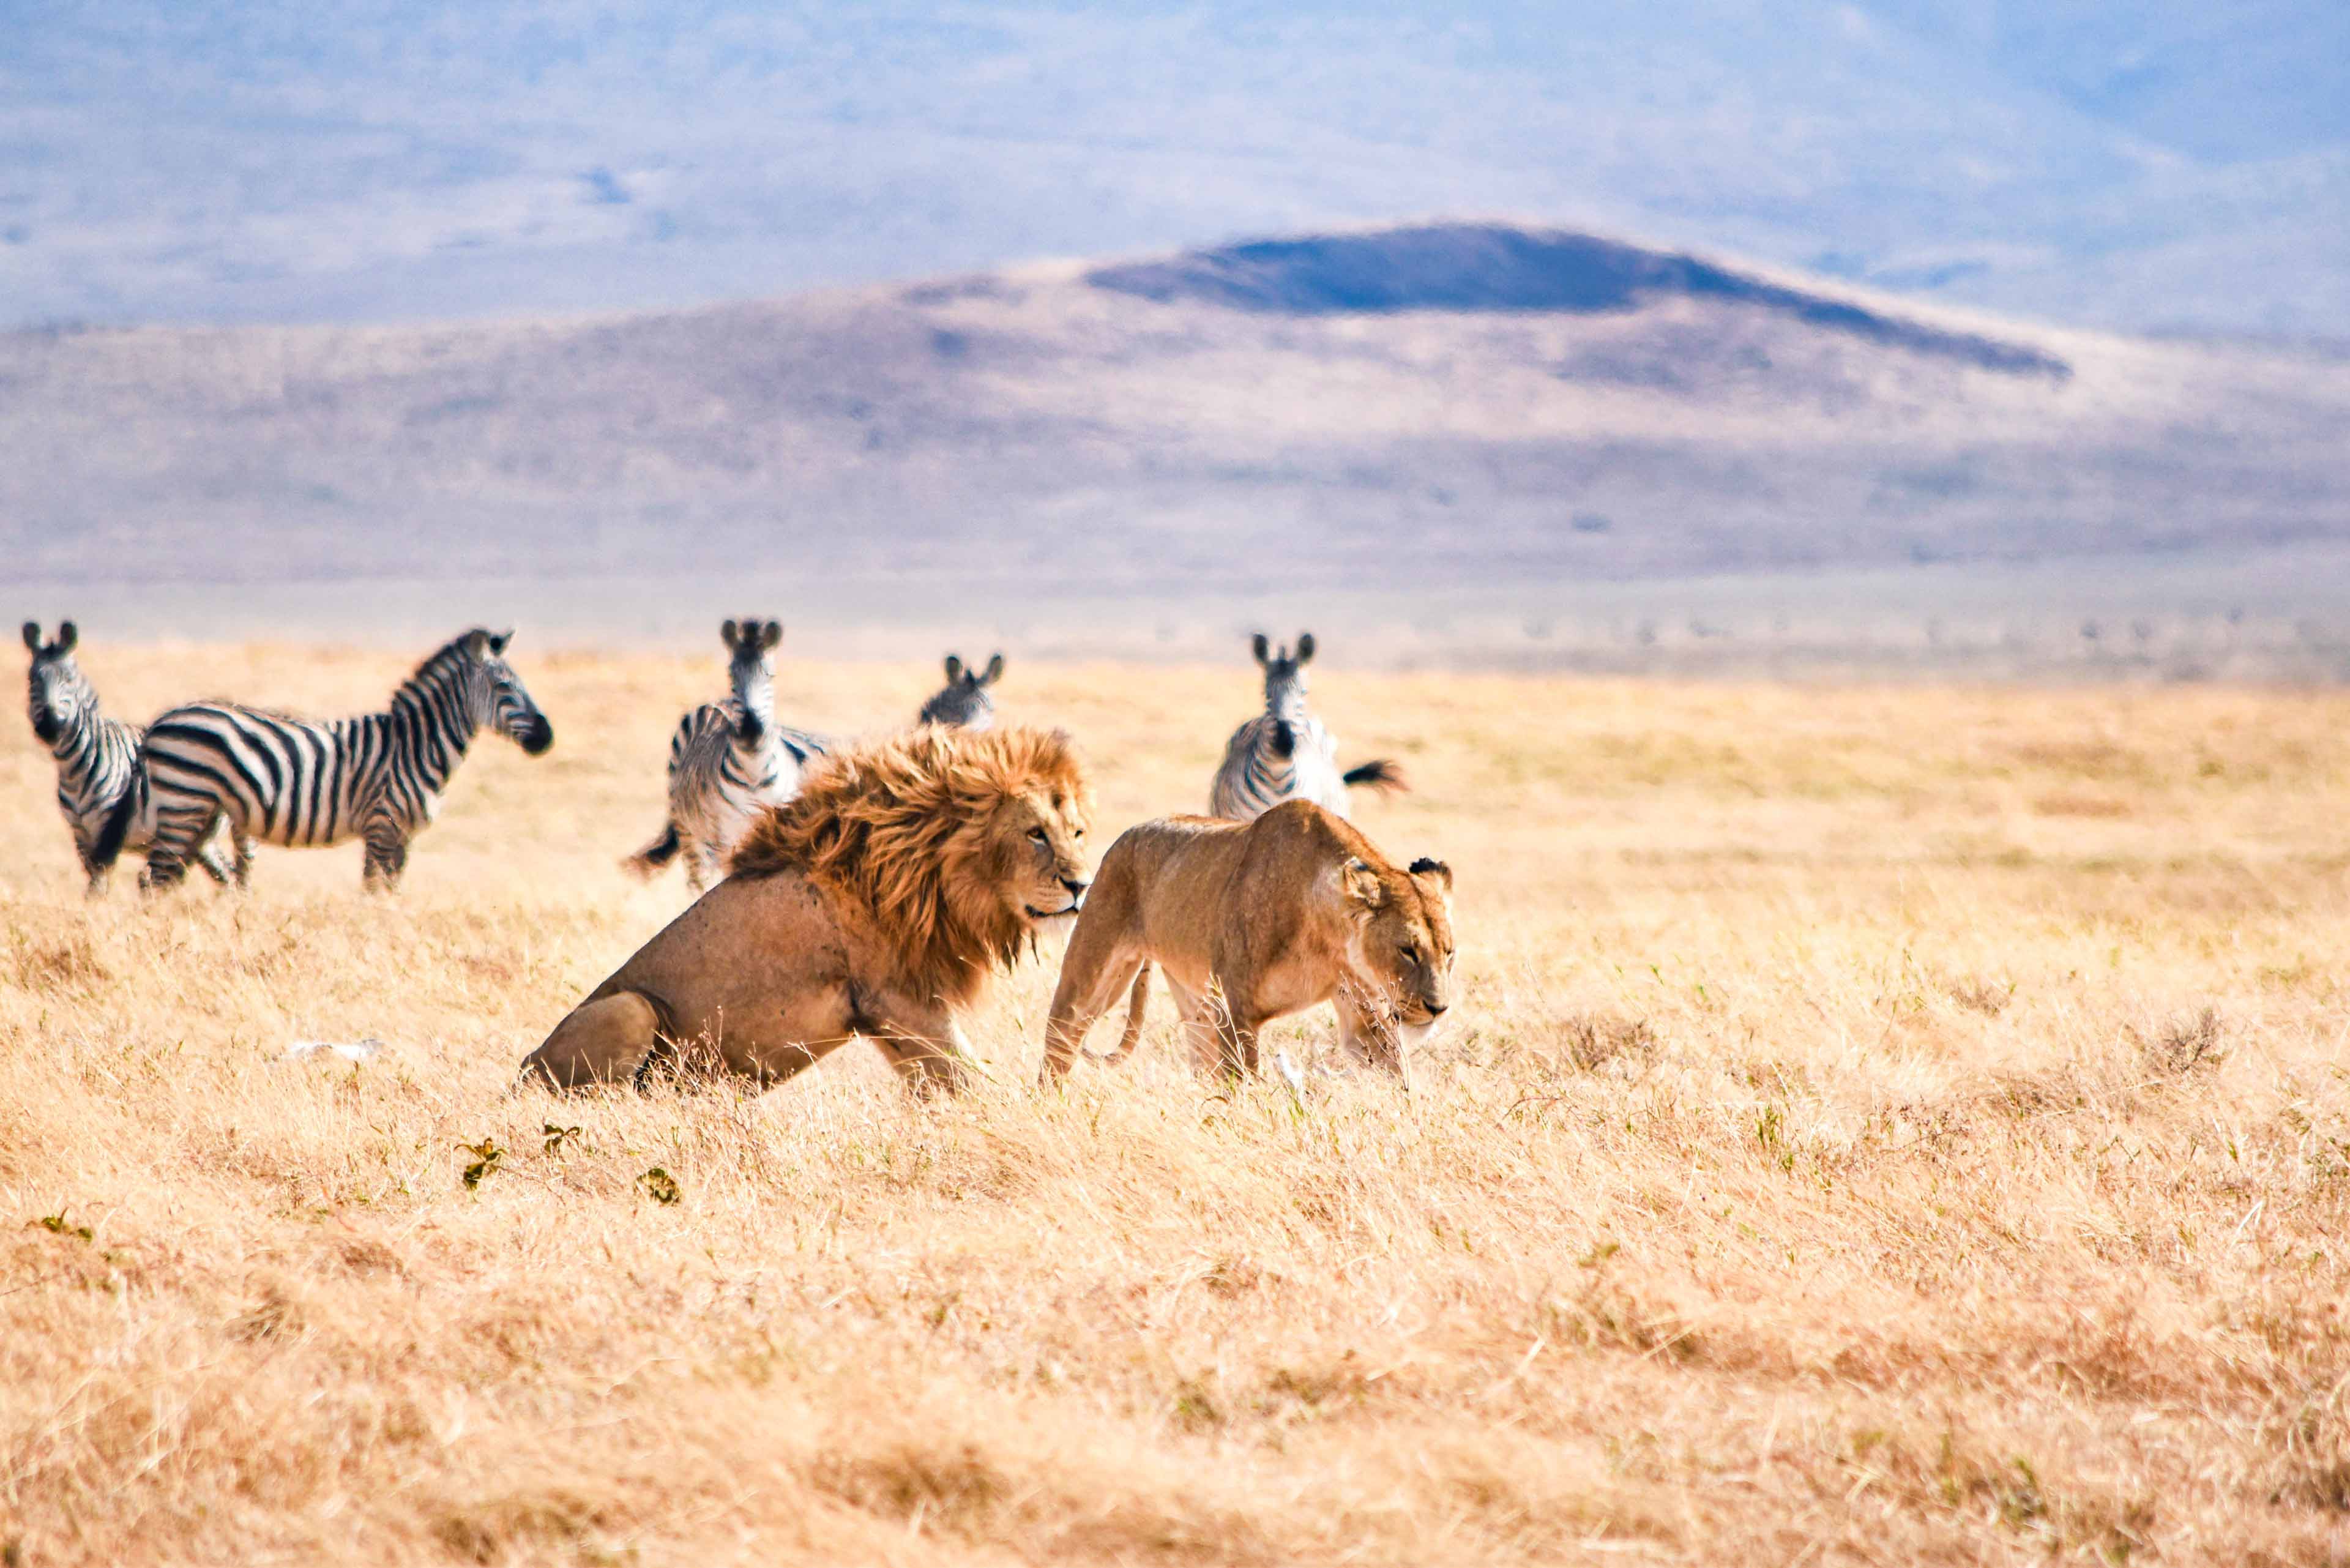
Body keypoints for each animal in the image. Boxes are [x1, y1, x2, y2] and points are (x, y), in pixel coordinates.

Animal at [22, 621, 246, 894]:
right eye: (32, 680)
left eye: (69, 679)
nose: (49, 727)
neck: (75, 768)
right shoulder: (81, 835)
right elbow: (95, 882)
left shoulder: (109, 826)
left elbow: (98, 884)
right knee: (225, 875)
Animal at [111, 627, 554, 894]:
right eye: (504, 686)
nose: (546, 738)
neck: (414, 747)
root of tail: (160, 723)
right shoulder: (382, 826)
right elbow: (373, 892)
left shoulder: (403, 836)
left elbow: (391, 894)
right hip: (184, 803)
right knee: (154, 880)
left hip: (199, 813)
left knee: (164, 879)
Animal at [521, 724, 1093, 1094]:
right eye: (1035, 834)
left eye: (1077, 832)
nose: (1082, 885)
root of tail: (523, 1070)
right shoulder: (899, 999)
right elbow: (975, 1082)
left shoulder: (890, 1019)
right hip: (630, 1008)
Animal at [627, 616, 827, 891]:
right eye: (731, 675)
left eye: (770, 675)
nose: (751, 729)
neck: (754, 773)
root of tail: (716, 704)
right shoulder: (728, 838)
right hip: (691, 834)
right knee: (697, 882)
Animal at [1039, 799, 1455, 1084]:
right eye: (1408, 951)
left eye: (1448, 954)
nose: (1439, 1009)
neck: (1328, 938)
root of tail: (1128, 835)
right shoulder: (1237, 1010)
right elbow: (1244, 1083)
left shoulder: (1364, 1015)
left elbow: (1395, 1075)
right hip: (1092, 974)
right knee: (1060, 1042)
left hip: (1199, 1005)